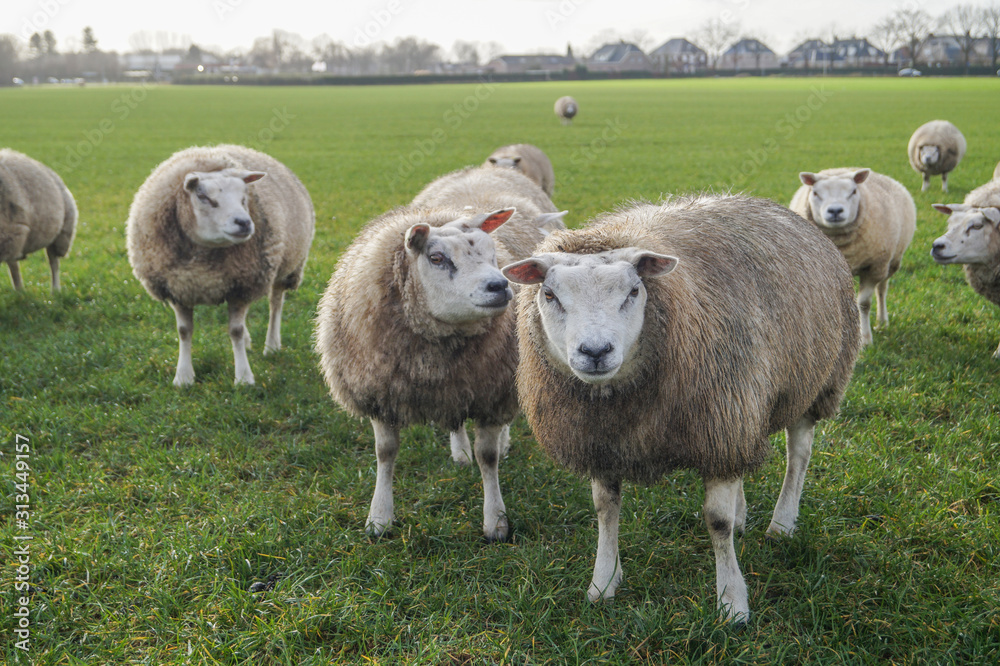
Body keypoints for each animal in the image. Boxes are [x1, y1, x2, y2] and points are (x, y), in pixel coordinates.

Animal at [126, 144, 315, 387]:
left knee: (275, 304)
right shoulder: (178, 288)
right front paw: (183, 377)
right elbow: (184, 331)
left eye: (244, 198)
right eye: (203, 196)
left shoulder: (242, 286)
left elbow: (235, 330)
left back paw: (271, 345)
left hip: (286, 269)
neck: (201, 265)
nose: (244, 223)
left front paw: (243, 378)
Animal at [316, 167, 566, 542]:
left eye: (493, 254)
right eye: (436, 258)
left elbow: (488, 456)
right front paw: (379, 518)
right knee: (454, 418)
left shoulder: (492, 392)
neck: (432, 356)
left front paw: (495, 520)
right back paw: (459, 451)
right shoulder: (380, 392)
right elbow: (385, 453)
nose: (500, 285)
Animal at [502, 194, 860, 623]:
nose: (595, 352)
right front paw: (603, 583)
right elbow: (605, 509)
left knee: (799, 454)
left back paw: (783, 522)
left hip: (814, 381)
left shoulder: (718, 421)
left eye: (634, 291)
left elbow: (717, 522)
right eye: (550, 295)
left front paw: (732, 603)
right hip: (742, 409)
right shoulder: (603, 438)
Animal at [789, 168, 916, 346]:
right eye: (815, 192)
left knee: (882, 289)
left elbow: (863, 304)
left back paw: (882, 321)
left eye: (853, 191)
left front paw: (865, 339)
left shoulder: (873, 268)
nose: (835, 210)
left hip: (890, 262)